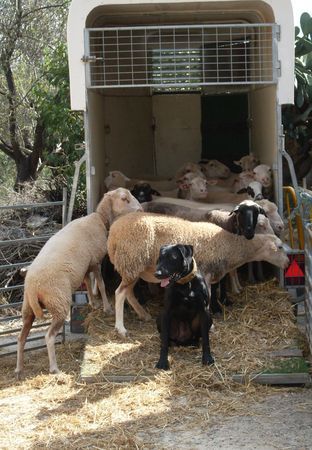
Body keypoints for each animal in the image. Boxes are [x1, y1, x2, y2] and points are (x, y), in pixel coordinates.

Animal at [14, 188, 141, 378]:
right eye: (124, 198)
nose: (140, 209)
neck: (99, 218)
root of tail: (32, 287)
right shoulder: (95, 261)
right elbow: (101, 285)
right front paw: (106, 307)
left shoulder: (86, 266)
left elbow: (88, 283)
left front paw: (93, 303)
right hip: (58, 302)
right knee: (48, 336)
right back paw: (54, 368)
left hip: (27, 310)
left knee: (21, 338)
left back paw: (19, 368)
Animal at [108, 213, 290, 336]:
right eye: (280, 247)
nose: (288, 264)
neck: (229, 246)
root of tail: (113, 232)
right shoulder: (206, 272)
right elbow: (207, 299)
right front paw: (211, 325)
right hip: (131, 260)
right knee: (119, 293)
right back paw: (121, 328)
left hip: (133, 267)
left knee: (128, 293)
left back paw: (143, 314)